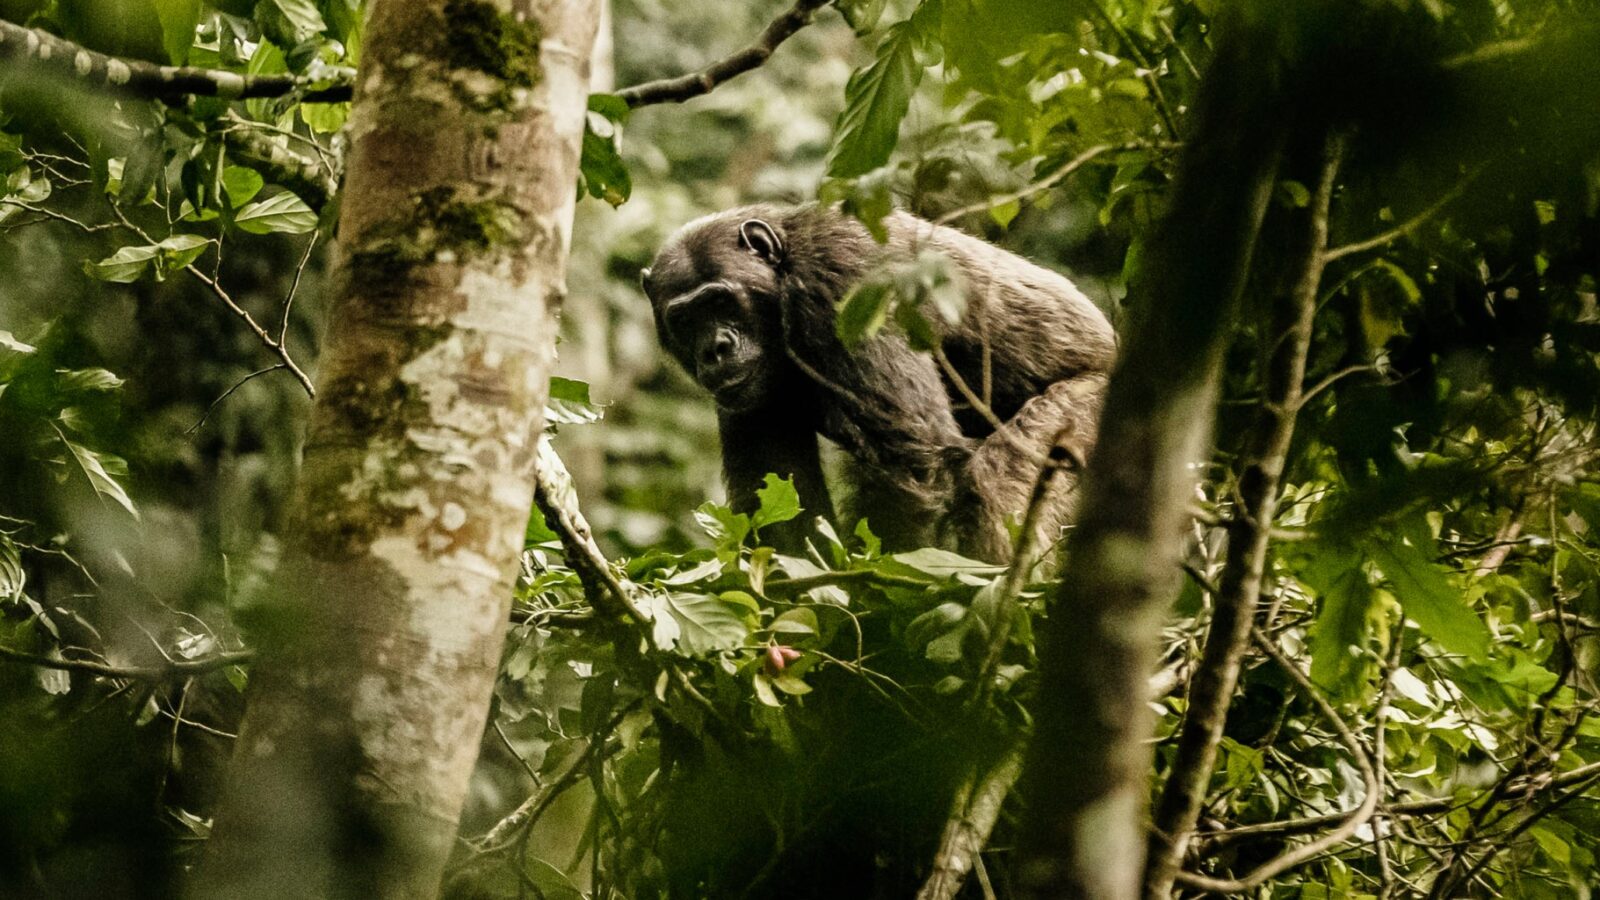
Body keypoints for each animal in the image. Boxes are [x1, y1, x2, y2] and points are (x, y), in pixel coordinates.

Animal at [641, 202, 1116, 563]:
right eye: (686, 320)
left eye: (720, 301)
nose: (715, 348)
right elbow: (781, 496)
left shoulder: (843, 279)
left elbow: (911, 462)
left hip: (1090, 410)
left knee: (1004, 478)